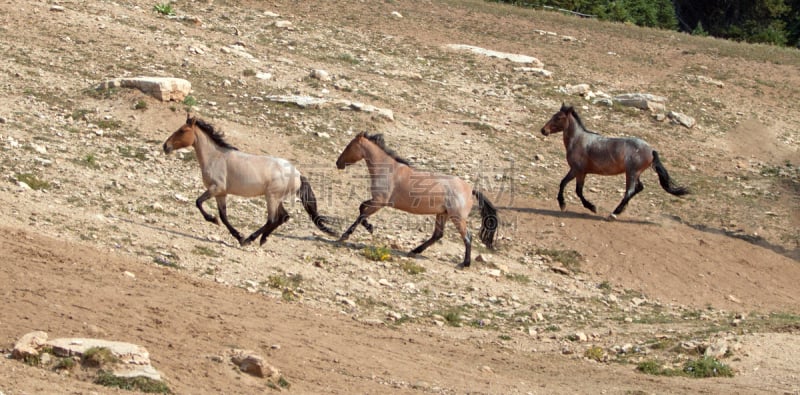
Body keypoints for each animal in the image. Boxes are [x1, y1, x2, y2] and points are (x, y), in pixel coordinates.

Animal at [162, 113, 338, 246]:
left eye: (182, 130)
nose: (165, 146)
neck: (216, 157)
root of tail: (298, 174)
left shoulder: (216, 188)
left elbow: (198, 202)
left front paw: (215, 221)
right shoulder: (221, 193)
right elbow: (224, 216)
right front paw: (236, 234)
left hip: (271, 197)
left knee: (273, 219)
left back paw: (251, 239)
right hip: (276, 198)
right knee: (283, 217)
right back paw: (261, 239)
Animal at [334, 133, 496, 270]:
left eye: (349, 146)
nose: (338, 163)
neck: (388, 170)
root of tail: (470, 189)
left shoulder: (380, 202)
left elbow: (361, 213)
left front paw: (345, 236)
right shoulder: (377, 201)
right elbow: (361, 208)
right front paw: (370, 227)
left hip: (457, 217)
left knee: (467, 236)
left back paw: (464, 264)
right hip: (442, 214)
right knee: (438, 235)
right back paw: (414, 251)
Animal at [536, 103, 688, 218]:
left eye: (559, 117)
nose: (543, 130)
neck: (578, 140)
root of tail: (651, 150)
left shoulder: (579, 171)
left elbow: (577, 190)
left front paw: (591, 207)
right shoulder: (575, 171)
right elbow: (563, 183)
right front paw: (563, 204)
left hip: (631, 173)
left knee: (630, 191)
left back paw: (613, 214)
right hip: (634, 173)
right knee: (639, 188)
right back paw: (619, 211)